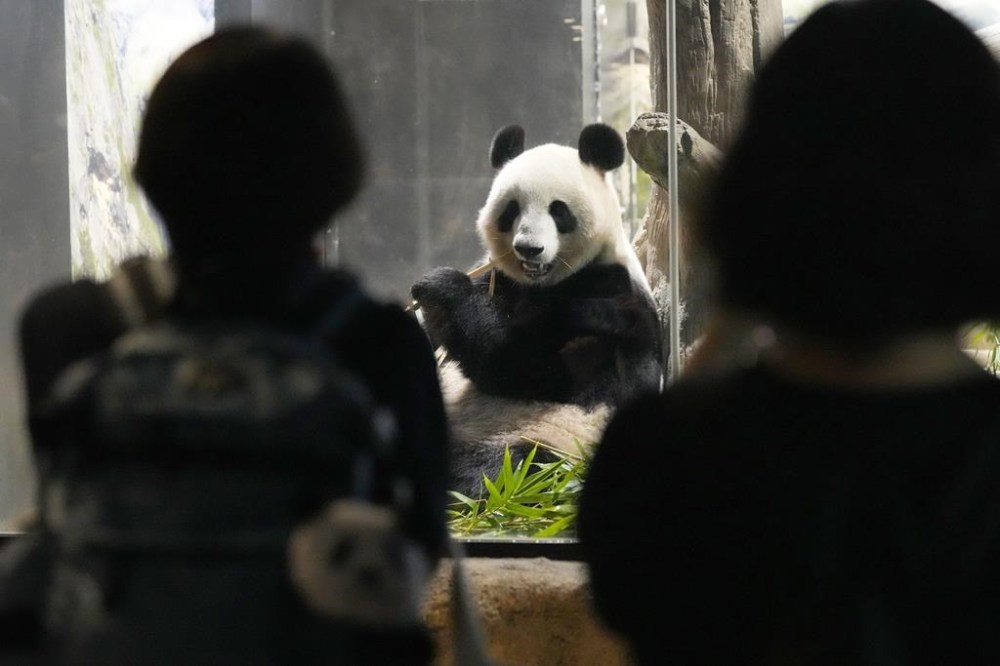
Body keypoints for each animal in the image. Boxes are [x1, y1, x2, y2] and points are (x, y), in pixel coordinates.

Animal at [411, 123, 664, 497]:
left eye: (558, 211)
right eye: (511, 210)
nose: (529, 249)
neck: (544, 283)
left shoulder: (609, 297)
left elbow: (532, 368)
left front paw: (442, 290)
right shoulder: (499, 278)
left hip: (554, 444)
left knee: (503, 470)